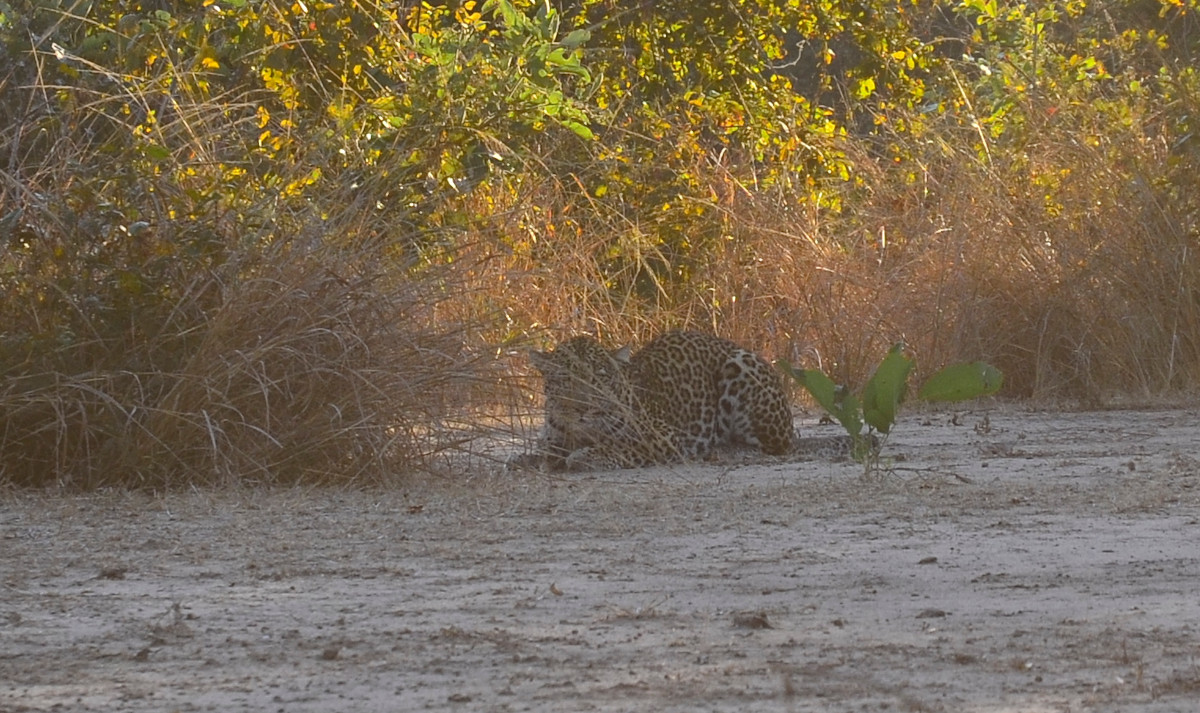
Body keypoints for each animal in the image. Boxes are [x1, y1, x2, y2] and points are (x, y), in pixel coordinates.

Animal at [528, 330, 795, 470]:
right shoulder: (552, 436)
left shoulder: (661, 434)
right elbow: (547, 449)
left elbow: (620, 445)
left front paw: (583, 457)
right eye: (565, 379)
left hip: (739, 366)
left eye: (600, 379)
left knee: (771, 445)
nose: (583, 409)